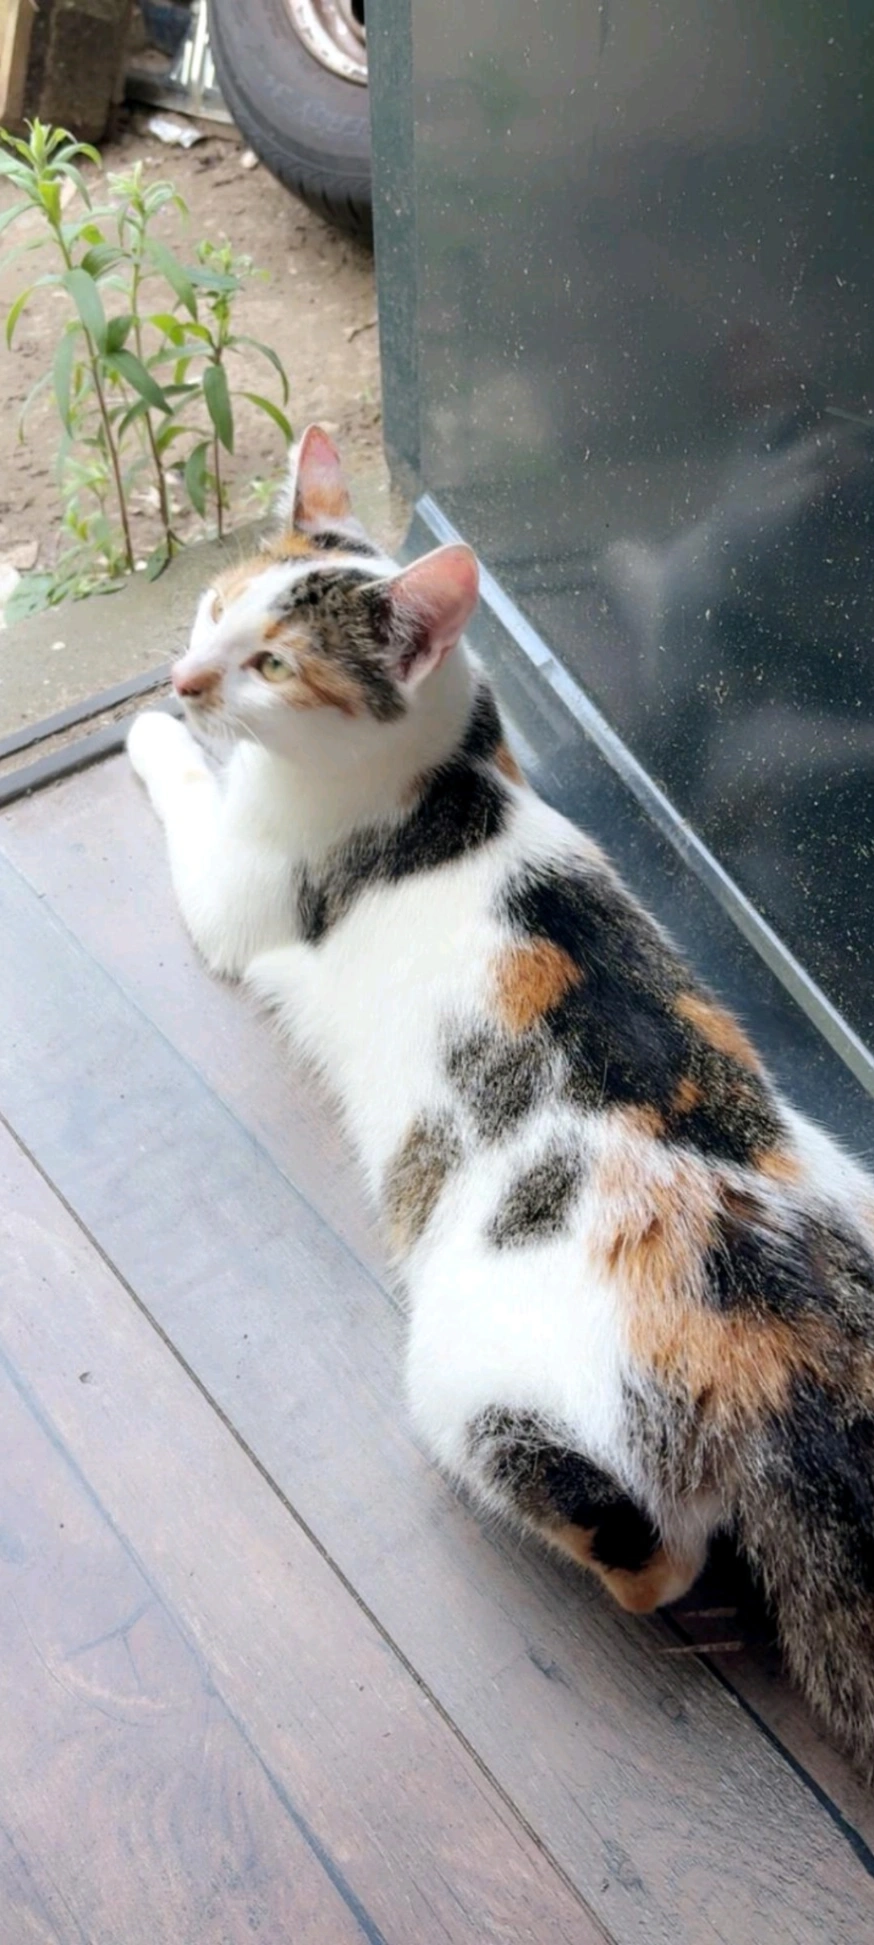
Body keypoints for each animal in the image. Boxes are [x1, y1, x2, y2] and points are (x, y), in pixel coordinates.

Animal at [128, 424, 874, 1774]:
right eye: (216, 606)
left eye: (271, 662)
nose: (181, 675)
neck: (446, 770)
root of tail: (783, 1330)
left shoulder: (232, 889)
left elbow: (198, 820)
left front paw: (149, 740)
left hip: (477, 1392)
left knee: (655, 1554)